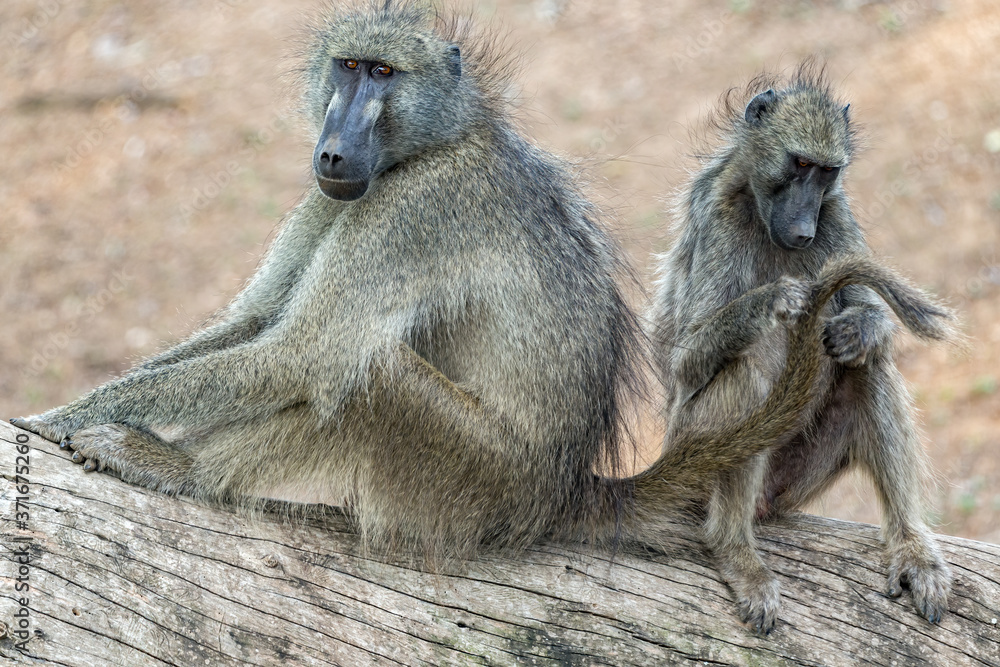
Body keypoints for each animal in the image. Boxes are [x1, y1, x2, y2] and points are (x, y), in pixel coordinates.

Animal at [9, 5, 949, 578]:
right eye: (347, 67)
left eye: (382, 76)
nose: (334, 147)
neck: (438, 140)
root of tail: (567, 487)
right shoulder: (338, 196)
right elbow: (255, 322)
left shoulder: (416, 208)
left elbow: (299, 354)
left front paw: (60, 421)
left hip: (481, 478)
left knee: (367, 375)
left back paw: (181, 467)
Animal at [648, 66, 956, 633]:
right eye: (800, 164)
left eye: (827, 173)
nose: (803, 230)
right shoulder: (720, 217)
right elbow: (687, 358)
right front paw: (778, 299)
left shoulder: (836, 213)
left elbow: (868, 323)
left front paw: (858, 326)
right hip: (689, 450)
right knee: (749, 373)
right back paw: (734, 551)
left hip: (797, 478)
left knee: (866, 366)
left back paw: (911, 548)